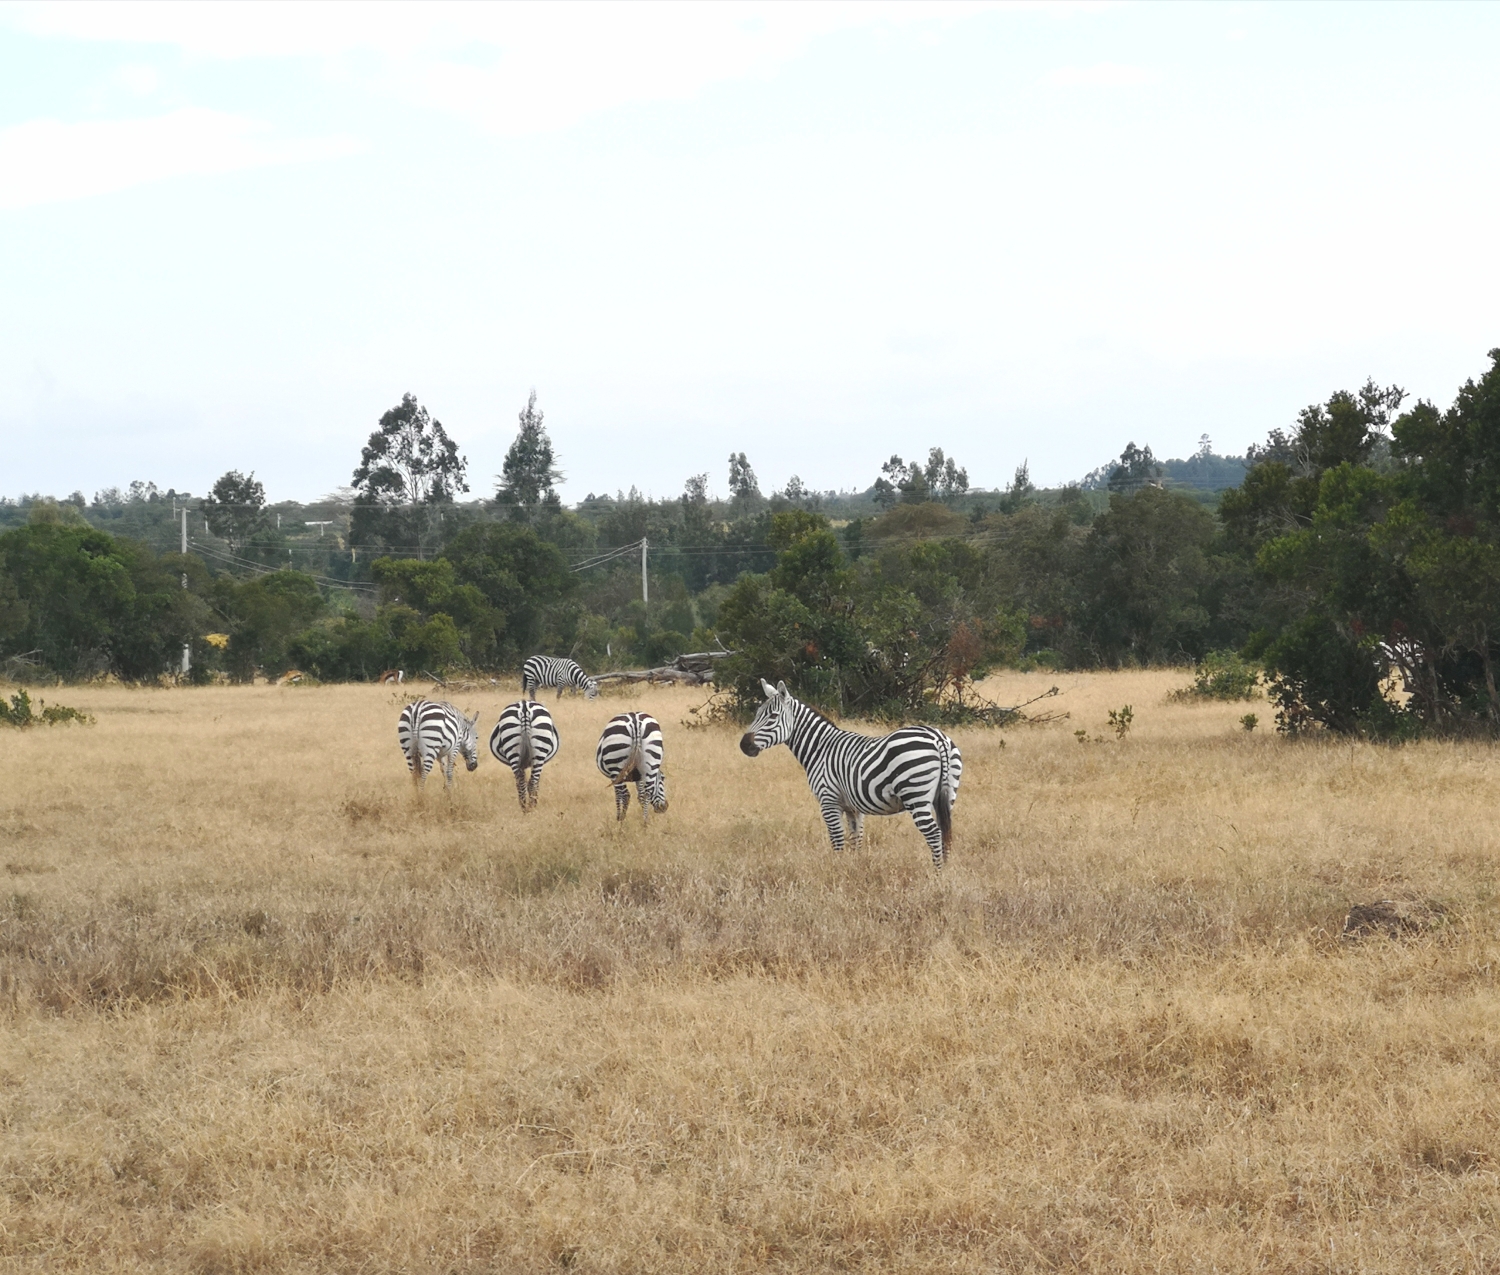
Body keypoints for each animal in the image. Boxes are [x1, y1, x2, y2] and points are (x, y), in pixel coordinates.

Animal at [738, 675, 960, 864]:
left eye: (773, 716)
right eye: (757, 714)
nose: (743, 745)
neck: (820, 748)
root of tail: (937, 737)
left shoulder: (829, 802)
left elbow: (837, 842)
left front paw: (837, 871)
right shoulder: (853, 807)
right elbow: (856, 840)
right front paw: (854, 868)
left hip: (916, 795)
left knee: (934, 834)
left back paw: (937, 874)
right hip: (946, 796)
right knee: (945, 832)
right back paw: (946, 872)